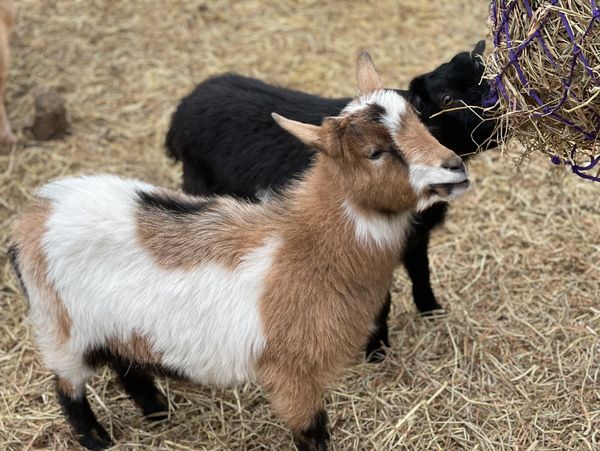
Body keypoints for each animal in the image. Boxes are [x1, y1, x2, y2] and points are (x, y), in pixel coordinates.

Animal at [8, 53, 468, 451]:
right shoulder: (292, 376)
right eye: (374, 152)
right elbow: (313, 433)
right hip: (61, 331)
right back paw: (97, 439)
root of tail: (35, 214)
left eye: (420, 120)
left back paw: (156, 411)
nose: (454, 167)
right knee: (68, 388)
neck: (304, 245)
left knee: (126, 365)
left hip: (116, 325)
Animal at [165, 40, 496, 362]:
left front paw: (431, 310)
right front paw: (377, 351)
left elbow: (421, 272)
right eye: (447, 98)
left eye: (486, 74)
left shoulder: (417, 237)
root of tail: (183, 109)